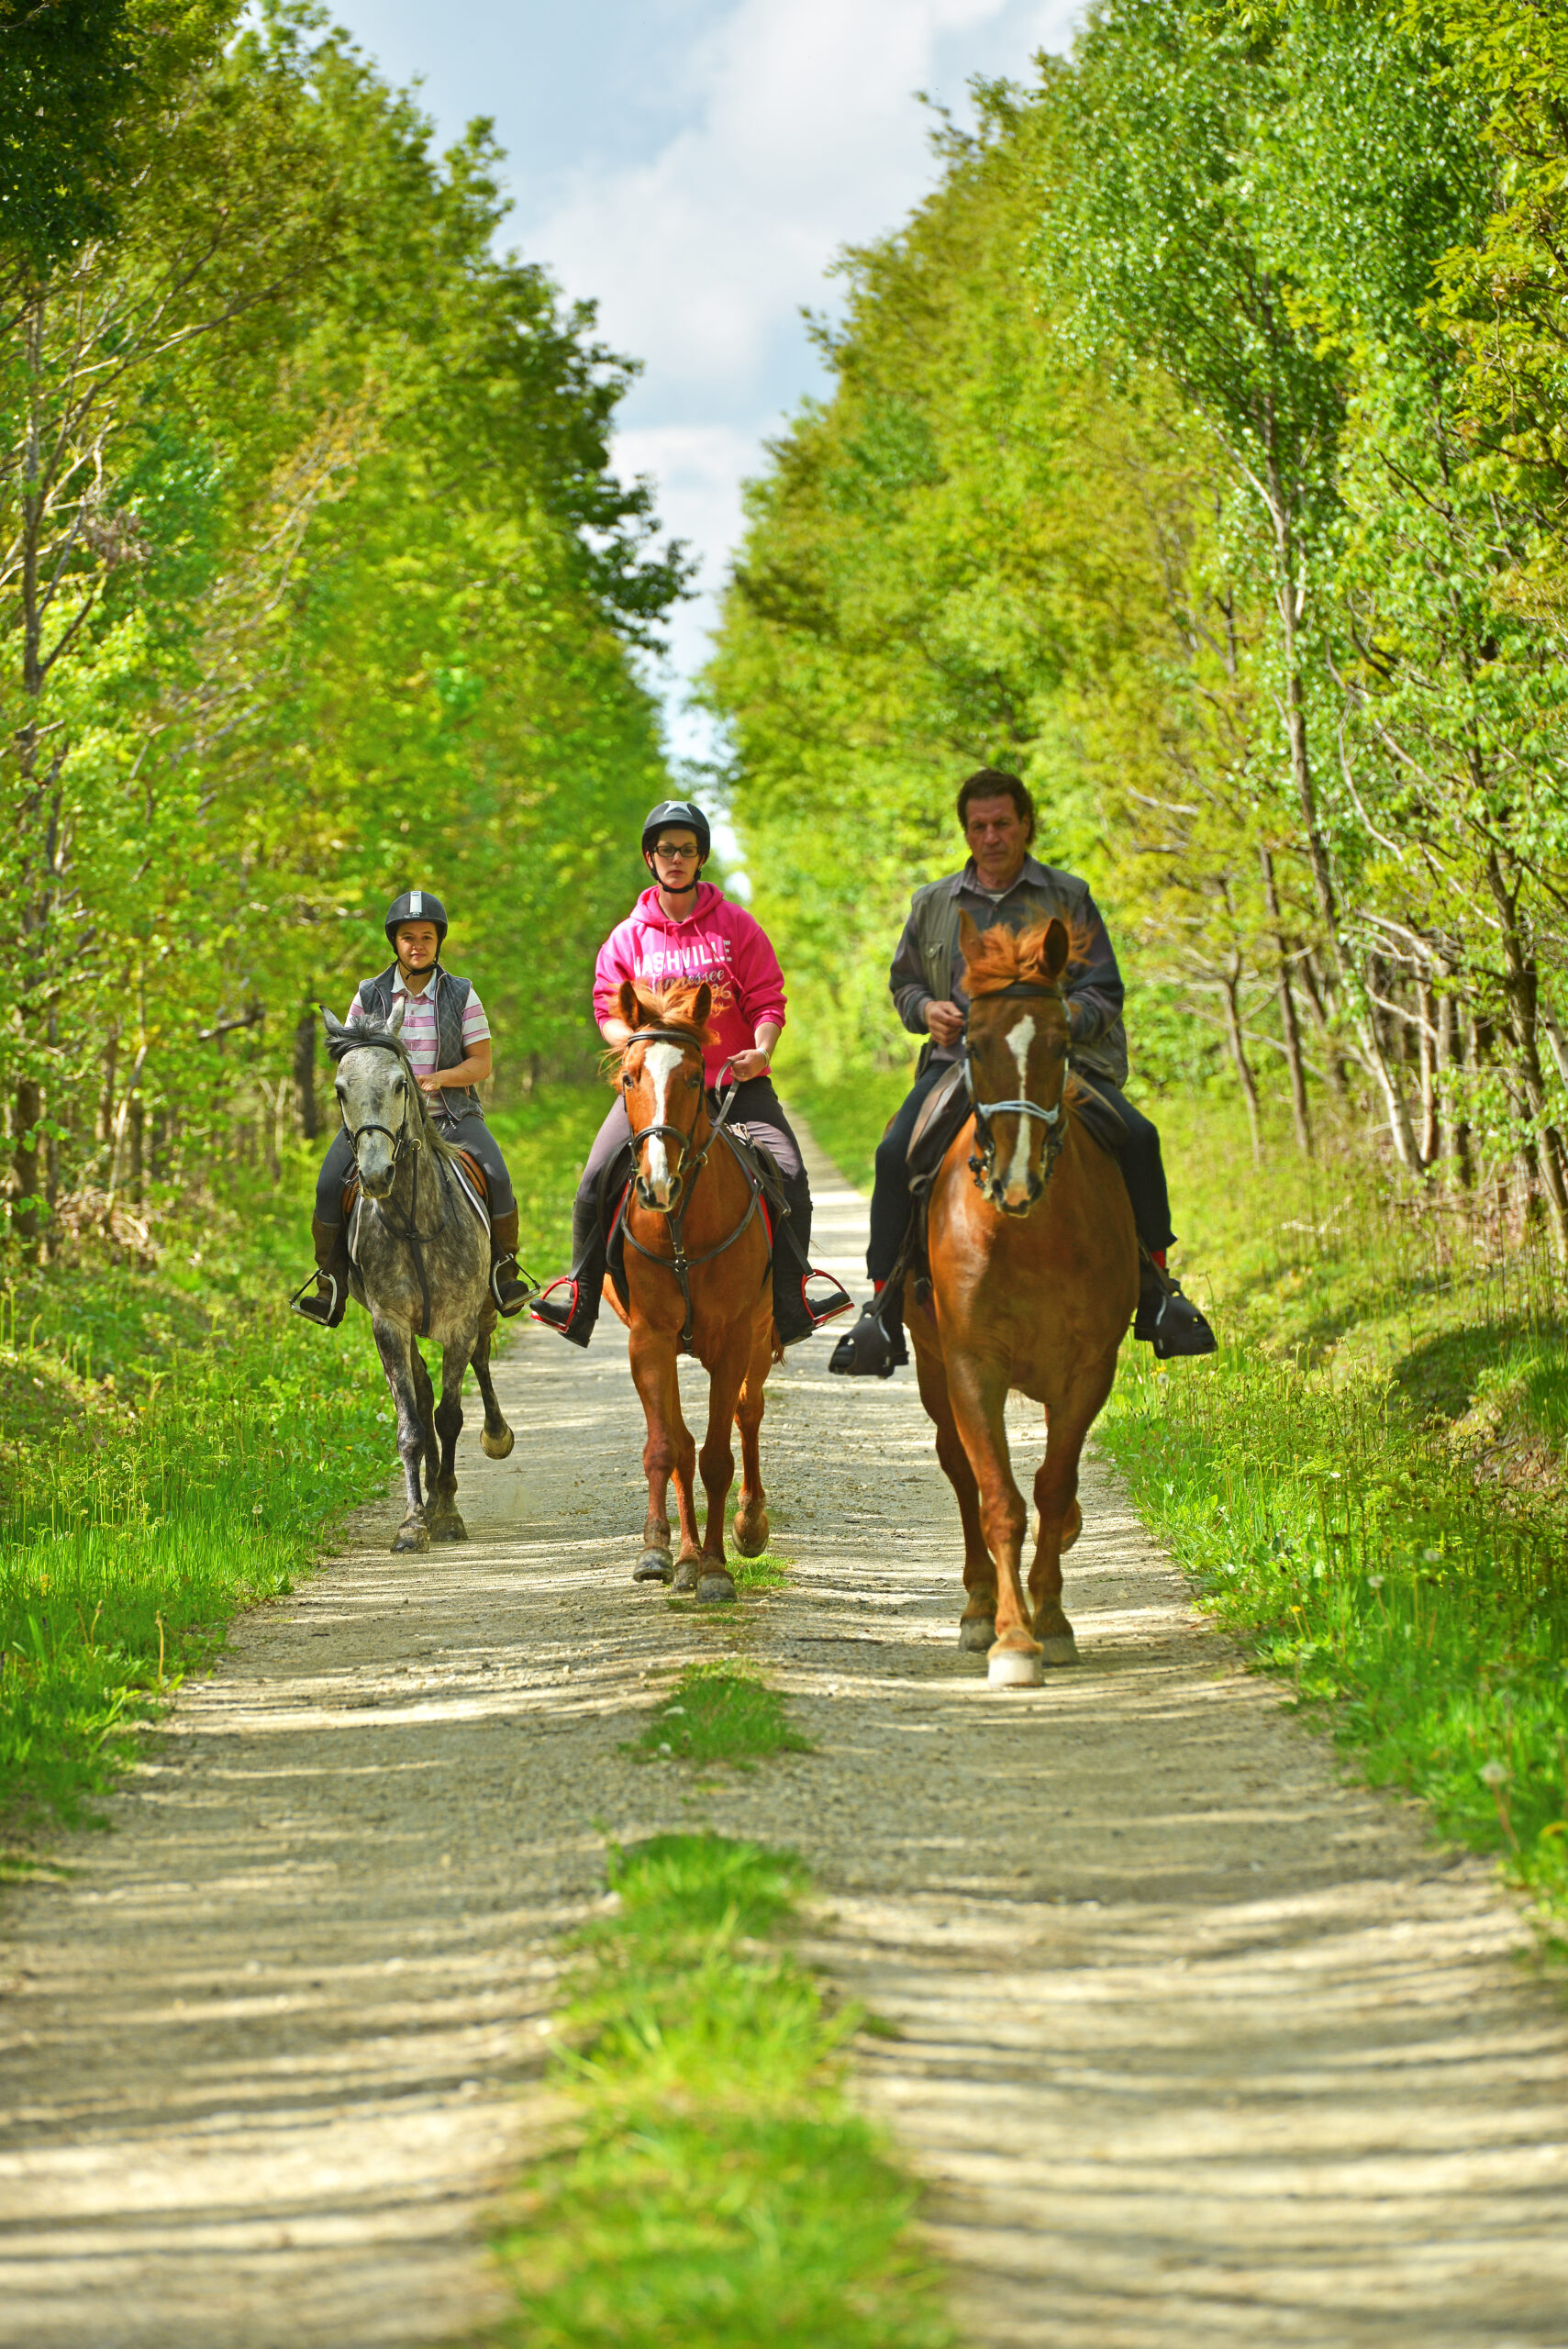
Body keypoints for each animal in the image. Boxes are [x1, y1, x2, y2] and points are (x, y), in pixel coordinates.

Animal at [324, 1005, 514, 1541]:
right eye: (340, 1089)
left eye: (399, 1085)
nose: (375, 1175)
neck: (414, 1223)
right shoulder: (388, 1324)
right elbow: (411, 1423)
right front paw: (413, 1522)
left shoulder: (458, 1322)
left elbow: (449, 1415)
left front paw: (447, 1514)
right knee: (424, 1389)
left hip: (485, 1307)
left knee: (482, 1362)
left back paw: (496, 1437)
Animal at [610, 982, 774, 1607]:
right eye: (629, 1077)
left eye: (690, 1077)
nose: (658, 1183)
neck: (680, 1227)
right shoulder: (649, 1340)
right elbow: (669, 1449)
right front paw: (661, 1554)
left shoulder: (733, 1343)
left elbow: (717, 1457)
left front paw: (716, 1568)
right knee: (681, 1443)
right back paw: (682, 1558)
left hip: (762, 1336)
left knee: (749, 1413)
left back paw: (749, 1525)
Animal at [906, 907, 1140, 1681]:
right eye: (973, 1045)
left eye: (1062, 1042)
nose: (1014, 1179)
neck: (1029, 1232)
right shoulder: (970, 1367)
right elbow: (999, 1500)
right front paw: (1012, 1639)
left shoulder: (1088, 1368)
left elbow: (1053, 1488)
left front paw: (1054, 1622)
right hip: (930, 1366)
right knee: (959, 1473)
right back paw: (979, 1609)